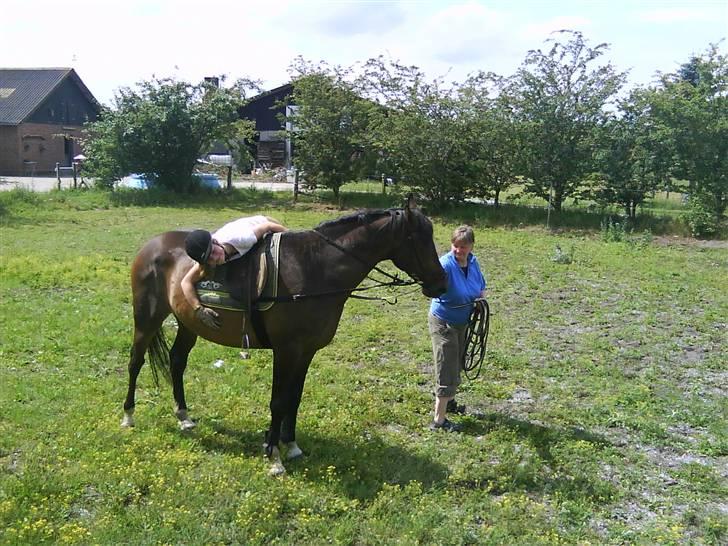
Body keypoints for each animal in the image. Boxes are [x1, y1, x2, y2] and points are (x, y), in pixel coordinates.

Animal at [122, 196, 446, 472]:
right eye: (418, 239)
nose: (441, 284)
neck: (314, 269)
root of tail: (152, 245)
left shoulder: (306, 351)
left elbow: (294, 397)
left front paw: (290, 445)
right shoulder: (286, 349)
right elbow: (278, 400)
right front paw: (273, 455)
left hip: (188, 323)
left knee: (177, 362)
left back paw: (184, 417)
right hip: (147, 319)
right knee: (135, 361)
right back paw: (128, 416)